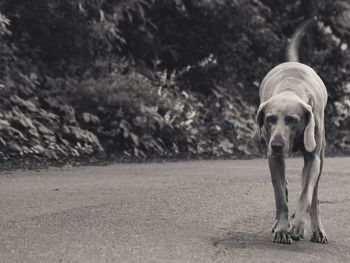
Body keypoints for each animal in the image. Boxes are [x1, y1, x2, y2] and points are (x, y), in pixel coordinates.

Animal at [254, 19, 328, 245]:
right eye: (270, 119)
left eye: (292, 120)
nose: (277, 145)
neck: (292, 87)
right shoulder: (273, 158)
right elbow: (280, 196)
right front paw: (282, 228)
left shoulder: (313, 158)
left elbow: (306, 195)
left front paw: (298, 225)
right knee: (284, 189)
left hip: (321, 155)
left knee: (314, 196)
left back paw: (316, 229)